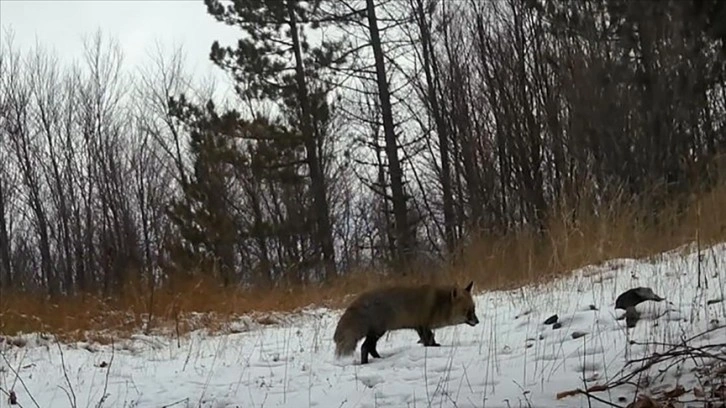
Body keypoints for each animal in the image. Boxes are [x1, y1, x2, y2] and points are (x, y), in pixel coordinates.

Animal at [332, 280, 480, 364]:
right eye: (468, 311)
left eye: (474, 309)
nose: (477, 322)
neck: (439, 304)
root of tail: (357, 300)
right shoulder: (422, 324)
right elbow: (429, 339)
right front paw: (433, 347)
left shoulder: (419, 327)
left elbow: (429, 338)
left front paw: (431, 345)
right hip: (378, 332)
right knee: (364, 347)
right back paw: (366, 363)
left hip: (376, 333)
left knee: (370, 348)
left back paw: (379, 358)